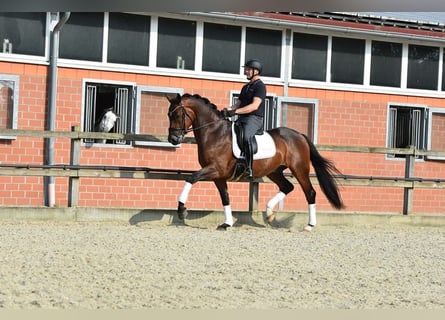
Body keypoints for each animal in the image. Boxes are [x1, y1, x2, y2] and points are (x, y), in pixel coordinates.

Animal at [166, 92, 344, 230]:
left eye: (178, 115)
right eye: (169, 115)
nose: (173, 139)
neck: (214, 133)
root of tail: (299, 135)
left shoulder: (215, 169)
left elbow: (191, 178)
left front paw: (181, 210)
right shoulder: (219, 176)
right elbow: (225, 197)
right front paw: (227, 223)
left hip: (299, 169)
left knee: (310, 192)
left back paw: (309, 225)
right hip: (274, 171)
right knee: (287, 187)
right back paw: (269, 214)